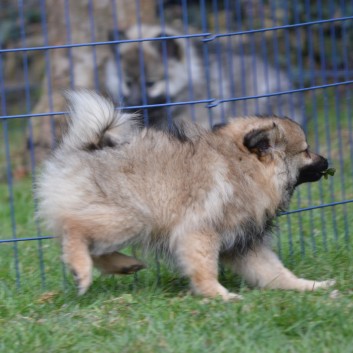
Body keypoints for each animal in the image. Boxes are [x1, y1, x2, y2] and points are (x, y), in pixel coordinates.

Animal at [37, 91, 334, 296]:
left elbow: (276, 273)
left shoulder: (244, 245)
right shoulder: (199, 232)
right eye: (306, 150)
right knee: (74, 228)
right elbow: (205, 268)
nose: (327, 161)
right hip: (130, 217)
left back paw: (123, 265)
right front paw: (218, 295)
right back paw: (82, 270)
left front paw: (312, 286)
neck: (243, 169)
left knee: (91, 245)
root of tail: (80, 151)